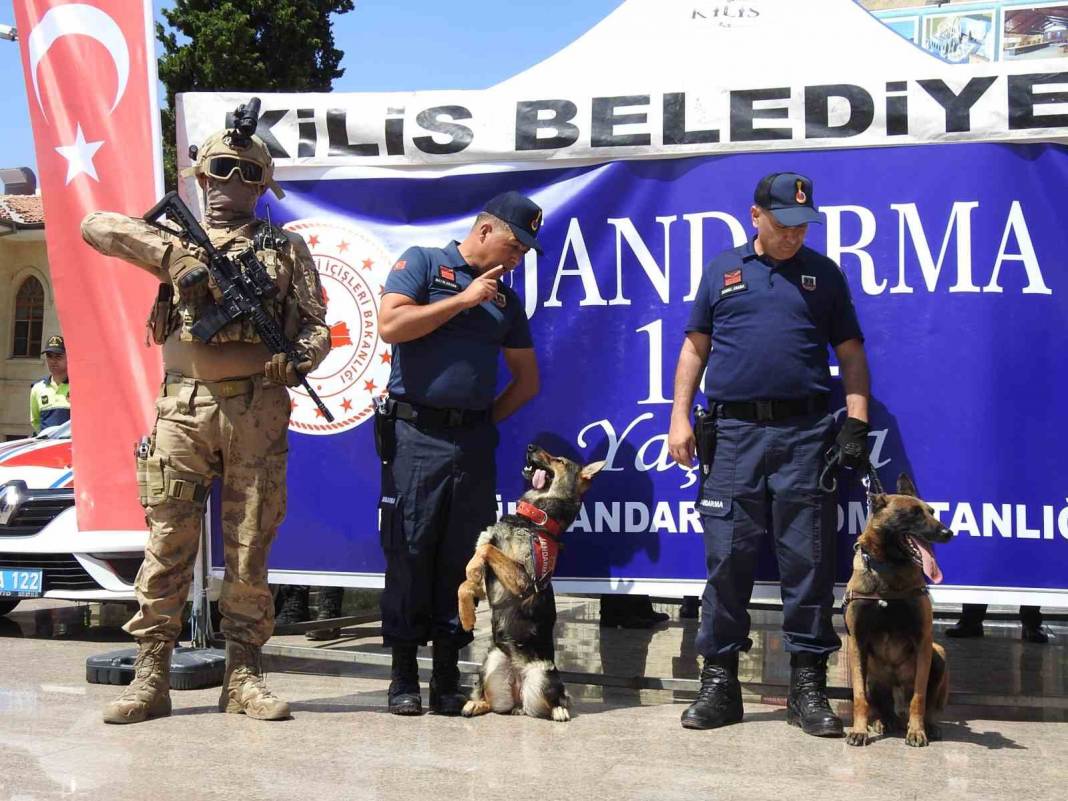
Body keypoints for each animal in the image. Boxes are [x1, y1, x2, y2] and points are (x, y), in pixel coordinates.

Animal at [459, 446, 606, 721]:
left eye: (559, 461)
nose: (530, 447)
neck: (534, 520)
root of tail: (518, 696)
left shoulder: (523, 580)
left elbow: (486, 549)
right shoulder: (489, 584)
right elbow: (469, 574)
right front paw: (466, 615)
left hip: (541, 677)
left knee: (558, 698)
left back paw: (560, 711)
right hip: (491, 665)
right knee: (493, 702)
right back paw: (476, 703)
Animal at [845, 474, 956, 751]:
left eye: (932, 512)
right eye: (914, 514)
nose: (948, 532)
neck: (888, 569)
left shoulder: (923, 640)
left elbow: (919, 697)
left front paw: (916, 732)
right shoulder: (857, 642)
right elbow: (860, 697)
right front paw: (858, 730)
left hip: (939, 654)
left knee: (928, 706)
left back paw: (928, 726)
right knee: (878, 706)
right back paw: (880, 722)